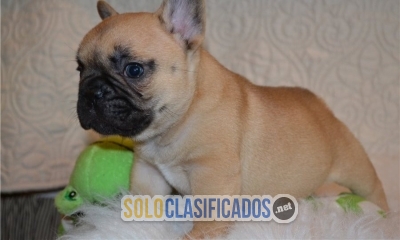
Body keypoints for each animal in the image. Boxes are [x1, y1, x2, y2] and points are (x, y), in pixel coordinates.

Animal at [75, 0, 388, 237]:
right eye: (79, 69)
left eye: (134, 69)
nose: (91, 92)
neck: (176, 122)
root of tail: (322, 107)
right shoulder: (148, 170)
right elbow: (144, 200)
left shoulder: (213, 174)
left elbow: (208, 218)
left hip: (356, 168)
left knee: (374, 190)